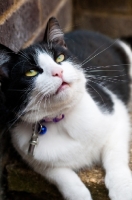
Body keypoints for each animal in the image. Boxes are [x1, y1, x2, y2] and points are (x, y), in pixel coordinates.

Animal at [0, 17, 132, 200]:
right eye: (31, 72)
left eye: (60, 57)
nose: (58, 71)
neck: (60, 117)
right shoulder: (32, 157)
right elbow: (61, 175)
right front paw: (80, 195)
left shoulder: (117, 116)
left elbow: (115, 156)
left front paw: (122, 189)